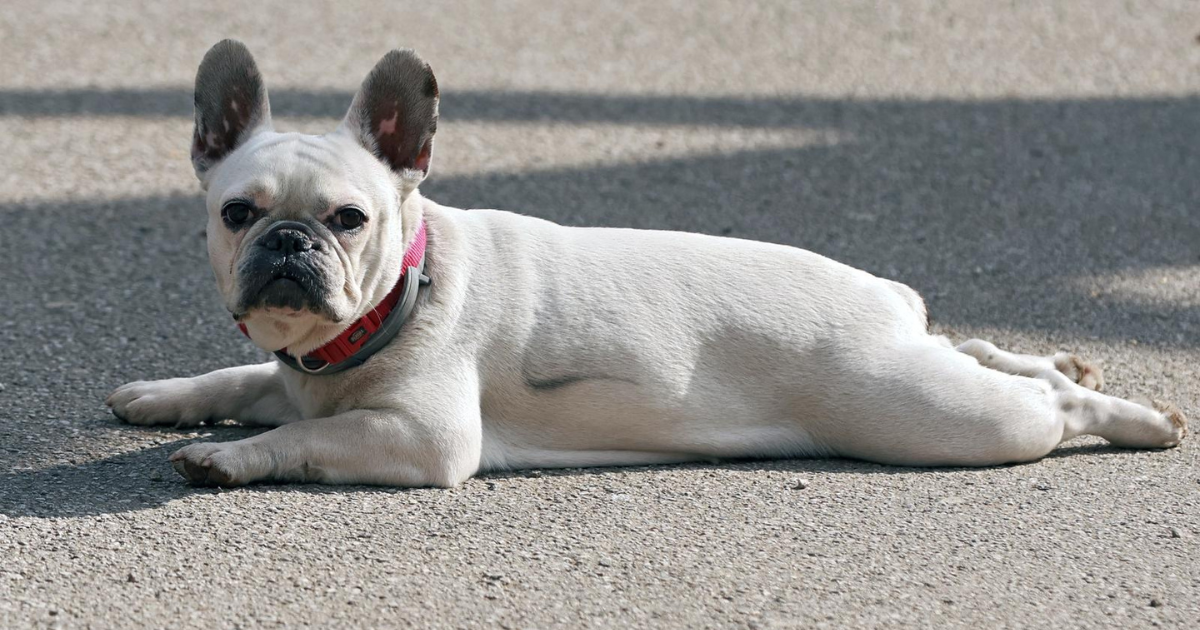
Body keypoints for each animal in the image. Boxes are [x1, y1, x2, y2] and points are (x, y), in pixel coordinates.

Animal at [103, 40, 1180, 487]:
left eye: (347, 218)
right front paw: (166, 397)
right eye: (238, 213)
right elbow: (239, 377)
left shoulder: (419, 438)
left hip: (938, 418)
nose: (288, 243)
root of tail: (887, 298)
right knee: (996, 352)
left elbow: (301, 435)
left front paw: (226, 457)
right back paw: (1060, 357)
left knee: (1046, 408)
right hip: (933, 370)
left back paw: (1134, 417)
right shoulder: (290, 369)